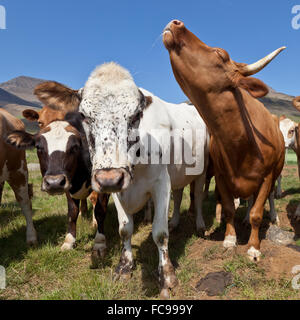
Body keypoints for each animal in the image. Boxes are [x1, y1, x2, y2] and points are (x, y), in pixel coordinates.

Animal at [163, 19, 284, 260]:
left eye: (220, 53)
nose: (176, 22)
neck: (240, 144)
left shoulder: (266, 177)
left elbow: (257, 212)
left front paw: (253, 247)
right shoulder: (220, 175)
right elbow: (228, 208)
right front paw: (229, 238)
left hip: (275, 173)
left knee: (266, 199)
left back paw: (269, 216)